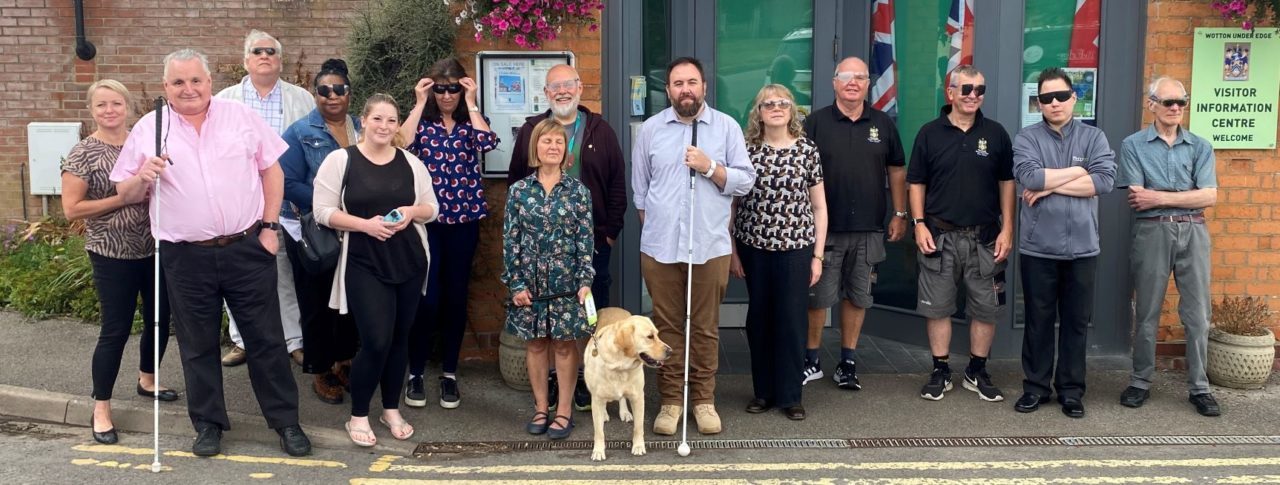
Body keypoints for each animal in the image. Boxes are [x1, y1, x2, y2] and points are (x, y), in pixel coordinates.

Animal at [586, 309, 675, 460]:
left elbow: (638, 427)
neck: (619, 366)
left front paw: (638, 446)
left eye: (657, 334)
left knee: (622, 397)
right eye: (650, 337)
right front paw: (598, 451)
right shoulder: (596, 398)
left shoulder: (638, 397)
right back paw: (604, 414)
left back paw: (625, 412)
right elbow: (599, 432)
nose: (670, 351)